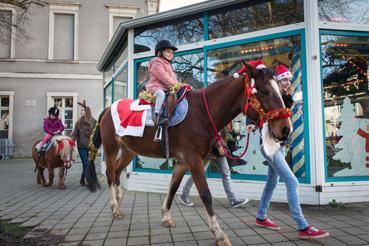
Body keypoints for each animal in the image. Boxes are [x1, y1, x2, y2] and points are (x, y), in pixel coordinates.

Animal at [85, 62, 290, 245]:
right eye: (264, 91)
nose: (286, 129)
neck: (201, 114)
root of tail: (108, 108)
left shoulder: (183, 162)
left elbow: (173, 188)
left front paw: (166, 216)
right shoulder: (194, 161)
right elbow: (206, 194)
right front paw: (218, 232)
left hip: (129, 150)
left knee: (117, 172)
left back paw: (118, 202)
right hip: (111, 148)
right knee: (110, 173)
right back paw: (114, 207)